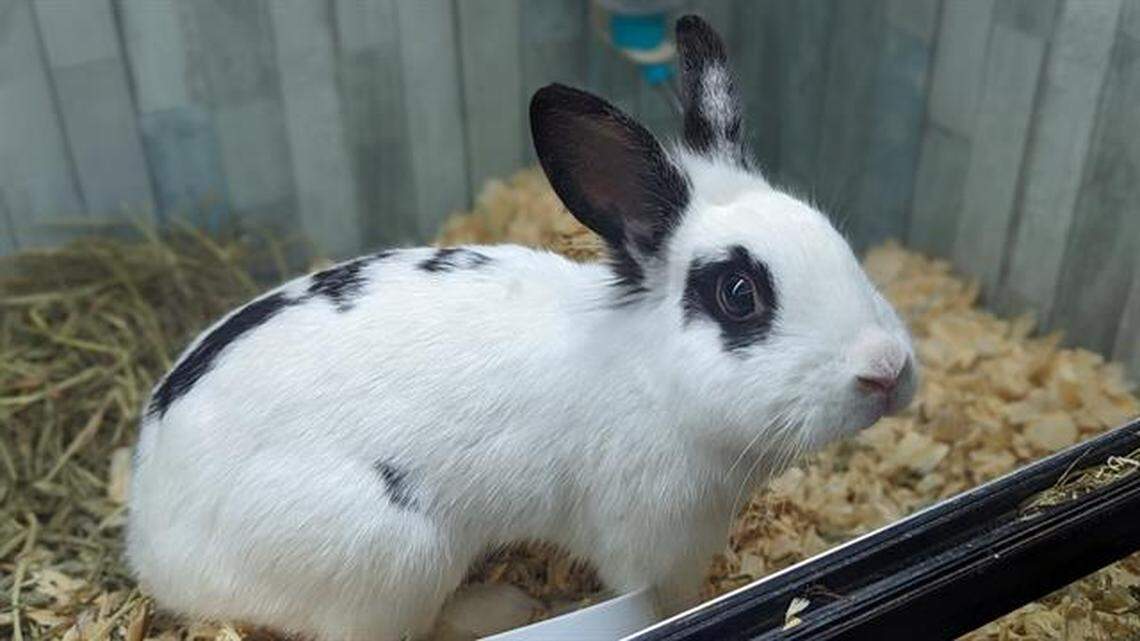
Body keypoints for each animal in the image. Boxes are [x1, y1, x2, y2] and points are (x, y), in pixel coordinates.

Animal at [126, 15, 917, 641]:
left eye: (832, 235)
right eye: (739, 293)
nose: (887, 369)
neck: (650, 377)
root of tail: (147, 540)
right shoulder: (651, 547)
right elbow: (663, 598)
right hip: (393, 557)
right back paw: (502, 608)